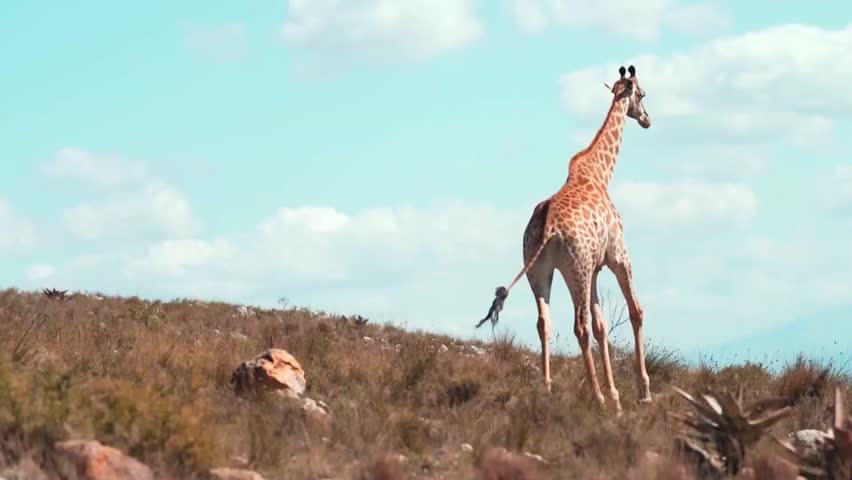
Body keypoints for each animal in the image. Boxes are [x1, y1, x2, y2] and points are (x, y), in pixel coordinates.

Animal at [477, 65, 653, 414]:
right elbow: (635, 312)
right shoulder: (618, 256)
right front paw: (641, 393)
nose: (647, 119)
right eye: (641, 94)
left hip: (541, 270)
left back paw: (547, 390)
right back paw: (597, 397)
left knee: (545, 323)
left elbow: (601, 326)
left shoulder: (595, 269)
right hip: (575, 269)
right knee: (579, 326)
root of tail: (549, 227)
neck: (600, 174)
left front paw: (616, 396)